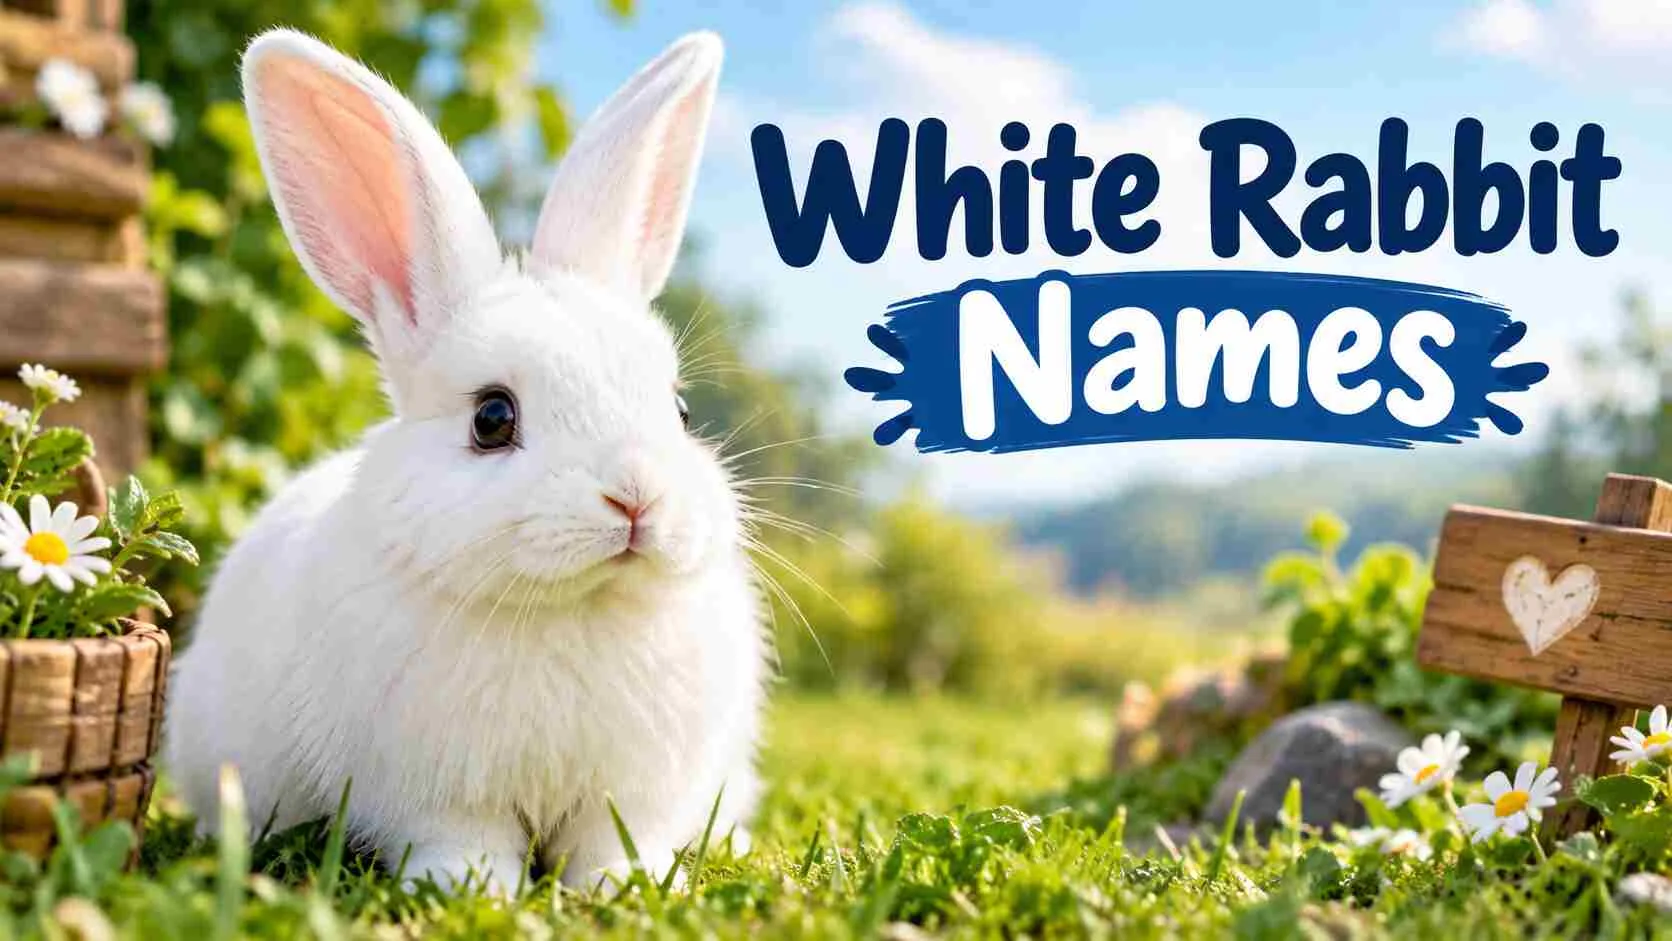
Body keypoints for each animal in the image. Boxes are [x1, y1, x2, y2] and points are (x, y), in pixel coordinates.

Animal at [163, 27, 767, 892]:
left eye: (679, 410)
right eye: (492, 418)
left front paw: (633, 884)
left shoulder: (631, 795)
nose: (636, 500)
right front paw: (473, 888)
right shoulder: (436, 798)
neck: (572, 608)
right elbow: (462, 841)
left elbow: (615, 844)